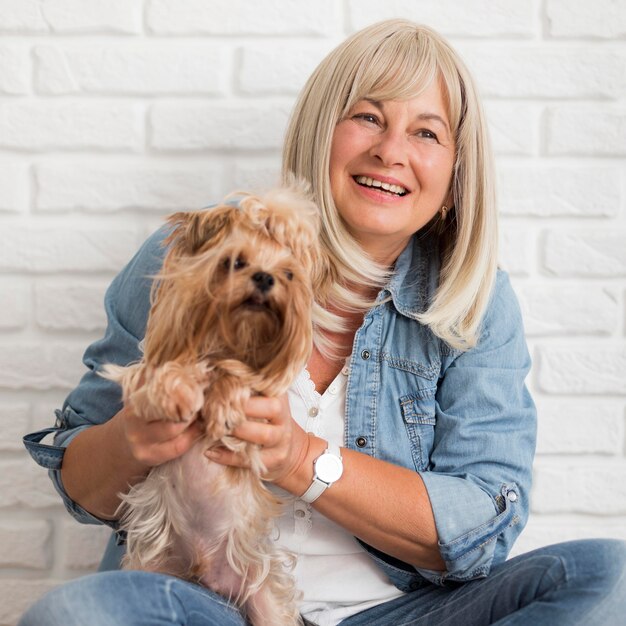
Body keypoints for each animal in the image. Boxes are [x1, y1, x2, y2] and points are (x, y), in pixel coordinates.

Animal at [103, 185, 324, 624]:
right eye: (236, 261)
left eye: (289, 274)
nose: (265, 277)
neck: (228, 338)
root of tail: (202, 567)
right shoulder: (147, 367)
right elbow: (166, 373)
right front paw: (180, 392)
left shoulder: (261, 399)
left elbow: (238, 376)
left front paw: (223, 401)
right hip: (152, 565)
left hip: (262, 592)